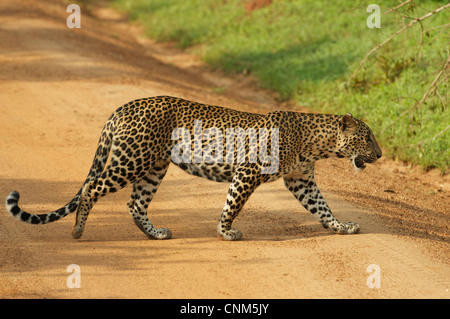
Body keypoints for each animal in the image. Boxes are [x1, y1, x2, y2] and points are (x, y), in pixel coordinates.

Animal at [5, 96, 382, 241]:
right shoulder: (248, 172)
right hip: (132, 159)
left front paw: (341, 226)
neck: (316, 143)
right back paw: (77, 231)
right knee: (91, 187)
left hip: (154, 166)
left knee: (135, 203)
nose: (379, 154)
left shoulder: (301, 181)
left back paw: (155, 234)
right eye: (367, 138)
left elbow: (322, 208)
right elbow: (232, 204)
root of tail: (124, 106)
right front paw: (226, 232)